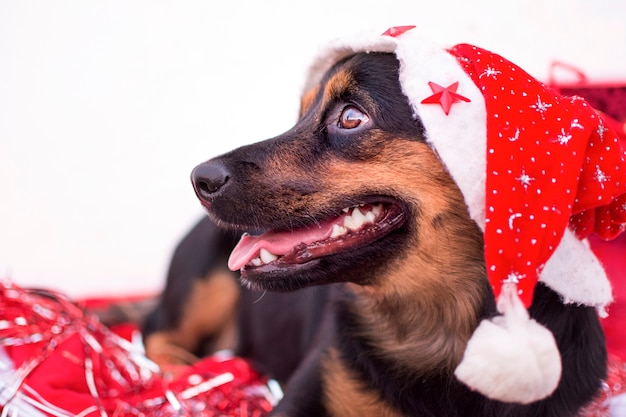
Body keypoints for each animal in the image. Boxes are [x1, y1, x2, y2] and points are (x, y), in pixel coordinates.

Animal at [141, 49, 608, 416]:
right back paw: (183, 376)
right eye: (300, 114)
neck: (437, 321)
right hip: (203, 282)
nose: (199, 179)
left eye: (351, 117)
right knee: (155, 329)